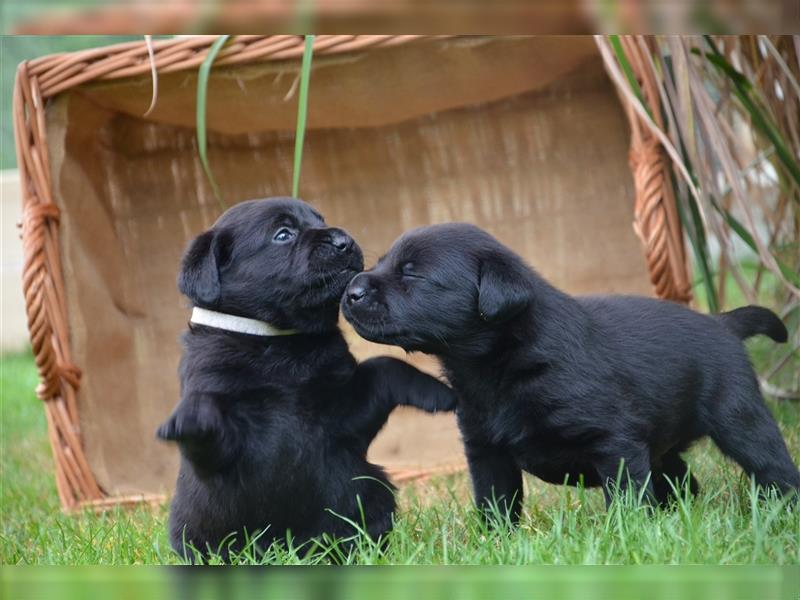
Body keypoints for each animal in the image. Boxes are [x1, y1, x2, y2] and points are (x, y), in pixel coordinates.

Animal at [156, 197, 456, 556]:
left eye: (320, 221)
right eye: (283, 234)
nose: (343, 241)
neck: (280, 344)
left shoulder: (346, 413)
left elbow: (384, 367)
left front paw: (437, 391)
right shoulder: (225, 444)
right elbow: (209, 419)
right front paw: (187, 419)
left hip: (369, 486)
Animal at [340, 223, 796, 516]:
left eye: (412, 274)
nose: (351, 290)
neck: (497, 365)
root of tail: (723, 323)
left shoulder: (615, 444)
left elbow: (627, 498)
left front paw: (629, 536)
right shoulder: (486, 451)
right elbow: (495, 504)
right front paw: (497, 543)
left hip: (739, 418)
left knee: (771, 463)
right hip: (666, 445)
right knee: (681, 479)